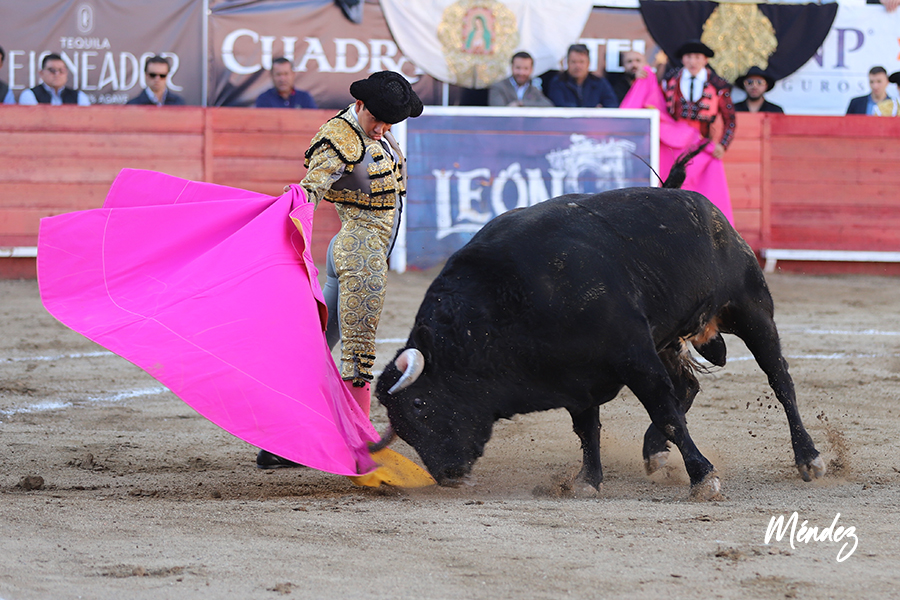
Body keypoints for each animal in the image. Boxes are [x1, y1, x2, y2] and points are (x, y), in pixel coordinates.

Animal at [372, 152, 825, 500]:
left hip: (751, 311)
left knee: (780, 380)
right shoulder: (576, 373)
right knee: (689, 386)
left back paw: (809, 458)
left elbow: (664, 411)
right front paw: (587, 480)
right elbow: (588, 428)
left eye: (419, 404)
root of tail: (706, 210)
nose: (447, 475)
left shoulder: (632, 355)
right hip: (667, 338)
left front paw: (703, 477)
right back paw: (653, 452)